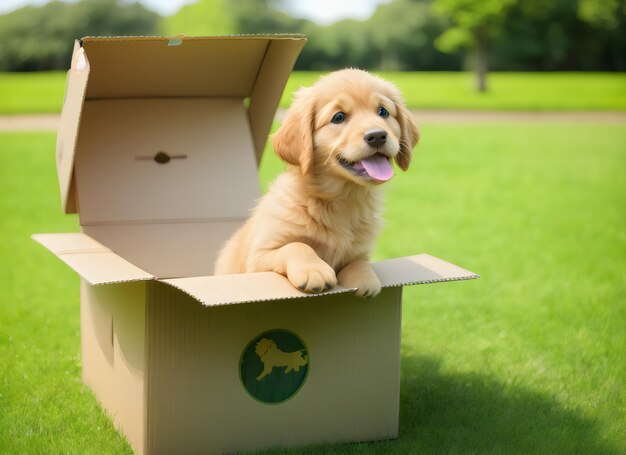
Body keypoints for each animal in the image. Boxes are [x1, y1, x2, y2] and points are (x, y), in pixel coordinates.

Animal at [212, 66, 416, 298]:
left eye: (383, 112)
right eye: (338, 117)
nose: (378, 136)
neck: (342, 200)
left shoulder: (360, 251)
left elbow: (359, 262)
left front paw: (366, 278)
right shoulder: (259, 258)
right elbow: (297, 246)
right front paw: (314, 271)